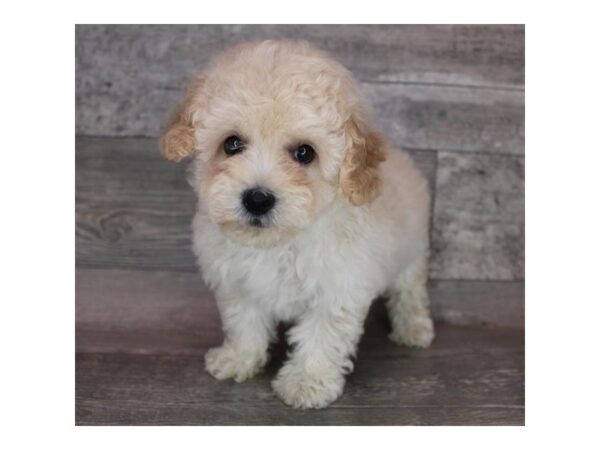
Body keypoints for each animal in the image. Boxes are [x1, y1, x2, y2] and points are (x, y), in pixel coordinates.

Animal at [159, 40, 434, 410]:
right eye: (232, 143)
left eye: (305, 153)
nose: (257, 199)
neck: (277, 243)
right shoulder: (240, 282)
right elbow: (244, 321)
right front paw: (239, 358)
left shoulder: (337, 287)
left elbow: (321, 335)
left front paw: (307, 381)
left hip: (412, 251)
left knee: (409, 291)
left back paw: (414, 329)